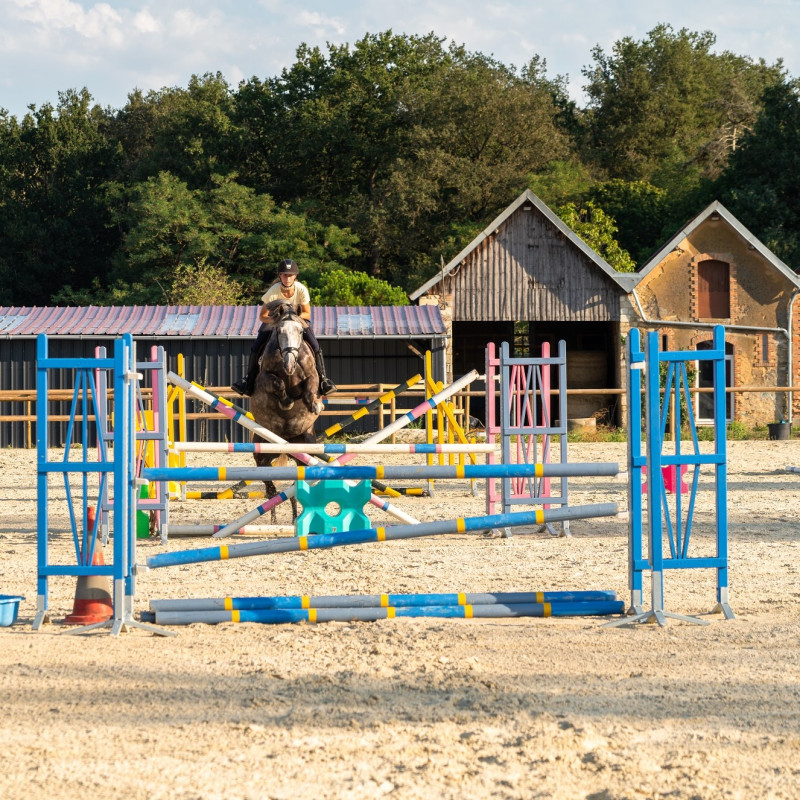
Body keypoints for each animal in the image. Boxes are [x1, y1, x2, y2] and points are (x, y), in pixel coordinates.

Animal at [250, 298, 324, 520]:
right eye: (279, 331)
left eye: (300, 331)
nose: (289, 364)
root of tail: (286, 443)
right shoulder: (265, 377)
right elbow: (277, 383)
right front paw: (286, 401)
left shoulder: (311, 377)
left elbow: (309, 388)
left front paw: (315, 405)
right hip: (263, 449)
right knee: (267, 480)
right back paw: (274, 511)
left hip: (306, 449)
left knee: (297, 480)